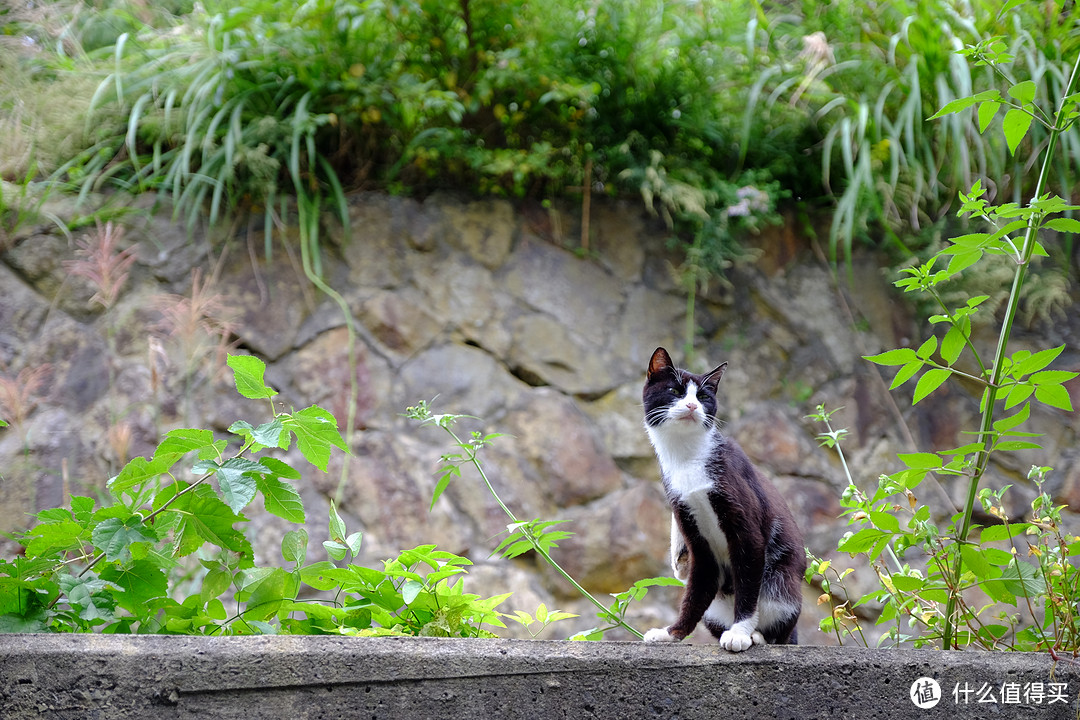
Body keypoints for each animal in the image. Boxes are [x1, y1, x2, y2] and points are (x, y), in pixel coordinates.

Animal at [639, 347, 803, 651]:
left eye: (704, 396)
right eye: (675, 390)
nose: (692, 406)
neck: (686, 458)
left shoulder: (744, 519)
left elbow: (748, 581)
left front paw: (739, 632)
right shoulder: (688, 518)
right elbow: (695, 588)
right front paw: (671, 633)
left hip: (781, 585)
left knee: (782, 631)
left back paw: (757, 636)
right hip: (716, 608)